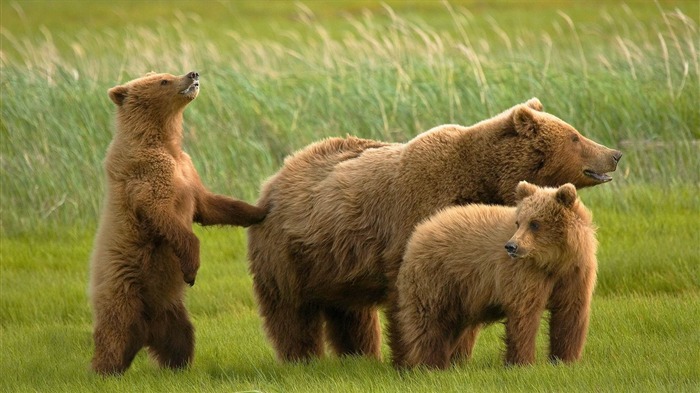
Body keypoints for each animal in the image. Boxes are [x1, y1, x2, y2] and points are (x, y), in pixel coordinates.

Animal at [90, 72, 268, 376]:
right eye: (163, 80)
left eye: (167, 73)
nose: (192, 74)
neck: (164, 142)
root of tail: (144, 334)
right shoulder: (148, 175)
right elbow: (164, 214)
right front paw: (192, 268)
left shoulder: (187, 169)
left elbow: (209, 205)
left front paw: (260, 210)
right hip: (124, 292)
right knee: (113, 334)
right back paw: (104, 370)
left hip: (170, 310)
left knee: (181, 336)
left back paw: (178, 366)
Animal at [249, 98, 620, 362]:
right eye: (575, 136)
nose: (614, 153)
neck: (481, 180)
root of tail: (273, 180)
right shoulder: (415, 215)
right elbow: (410, 295)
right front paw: (413, 358)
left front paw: (458, 354)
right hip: (288, 255)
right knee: (291, 311)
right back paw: (302, 358)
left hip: (337, 264)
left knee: (350, 312)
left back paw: (359, 355)